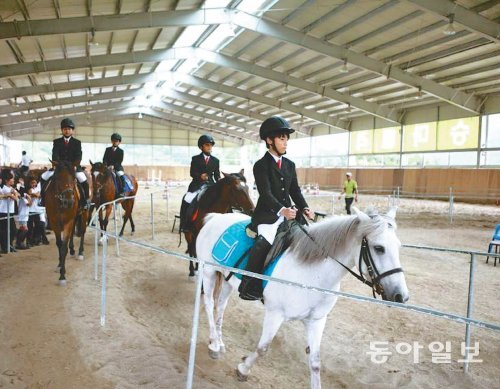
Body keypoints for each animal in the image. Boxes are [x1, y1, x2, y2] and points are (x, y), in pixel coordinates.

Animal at [194, 208, 406, 386]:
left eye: (398, 247)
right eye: (379, 248)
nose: (401, 296)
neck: (312, 275)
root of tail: (216, 216)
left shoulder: (316, 321)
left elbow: (315, 362)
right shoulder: (275, 314)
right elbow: (263, 348)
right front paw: (243, 369)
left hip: (228, 279)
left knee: (221, 306)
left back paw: (219, 342)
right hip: (209, 272)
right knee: (209, 304)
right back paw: (214, 344)